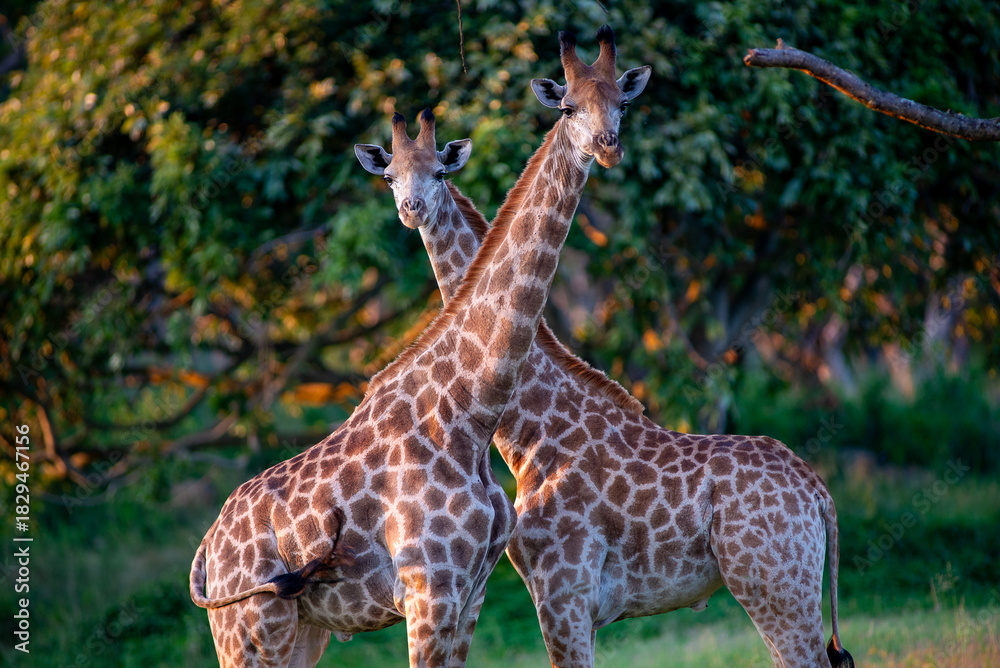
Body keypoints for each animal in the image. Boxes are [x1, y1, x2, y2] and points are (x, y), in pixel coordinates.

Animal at [190, 25, 648, 668]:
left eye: (623, 103)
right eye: (568, 107)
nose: (608, 148)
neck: (470, 409)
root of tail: (207, 550)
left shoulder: (470, 593)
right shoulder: (427, 590)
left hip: (301, 631)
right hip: (251, 632)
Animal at [358, 34, 854, 668]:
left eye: (440, 172)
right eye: (390, 176)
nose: (411, 210)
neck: (530, 433)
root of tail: (820, 494)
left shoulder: (562, 591)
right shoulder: (575, 605)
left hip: (774, 587)